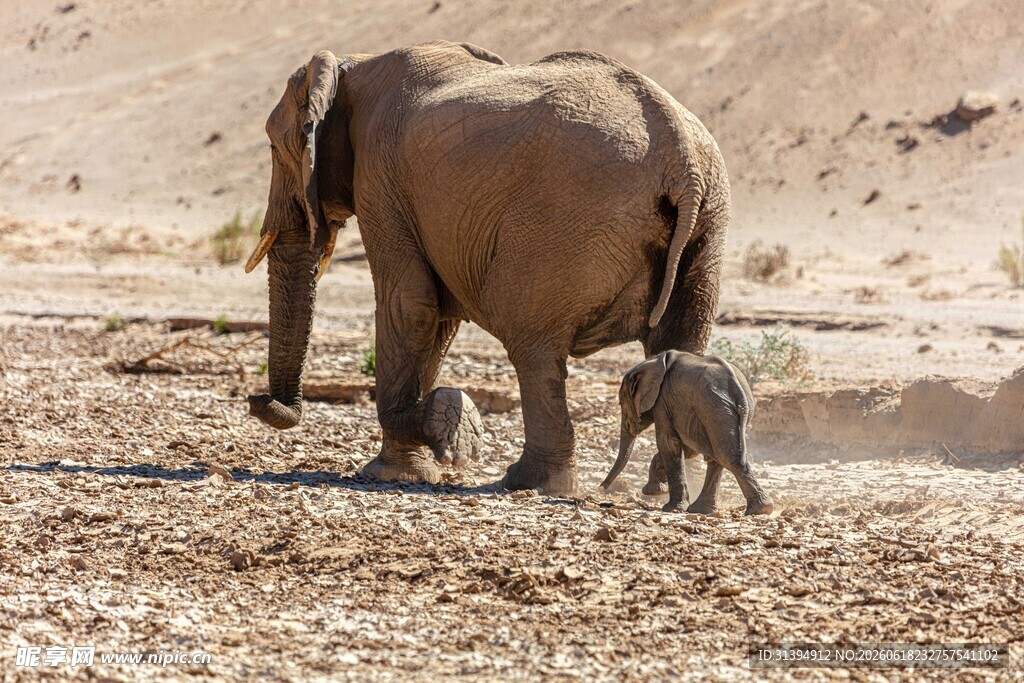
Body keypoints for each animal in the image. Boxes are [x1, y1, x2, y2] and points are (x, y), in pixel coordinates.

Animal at [244, 41, 732, 495]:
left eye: (274, 146)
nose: (257, 399)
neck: (354, 64)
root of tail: (682, 158)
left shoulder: (380, 177)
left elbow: (409, 304)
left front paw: (436, 437)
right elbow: (438, 319)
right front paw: (413, 463)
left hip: (565, 226)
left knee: (532, 345)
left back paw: (527, 481)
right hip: (709, 226)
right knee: (679, 342)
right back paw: (663, 488)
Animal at [601, 351, 773, 515]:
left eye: (621, 403)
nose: (602, 487)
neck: (651, 361)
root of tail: (738, 390)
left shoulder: (663, 400)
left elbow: (668, 443)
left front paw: (670, 507)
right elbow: (686, 449)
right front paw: (656, 492)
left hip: (714, 408)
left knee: (726, 456)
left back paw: (759, 510)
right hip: (723, 410)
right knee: (718, 455)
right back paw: (705, 510)